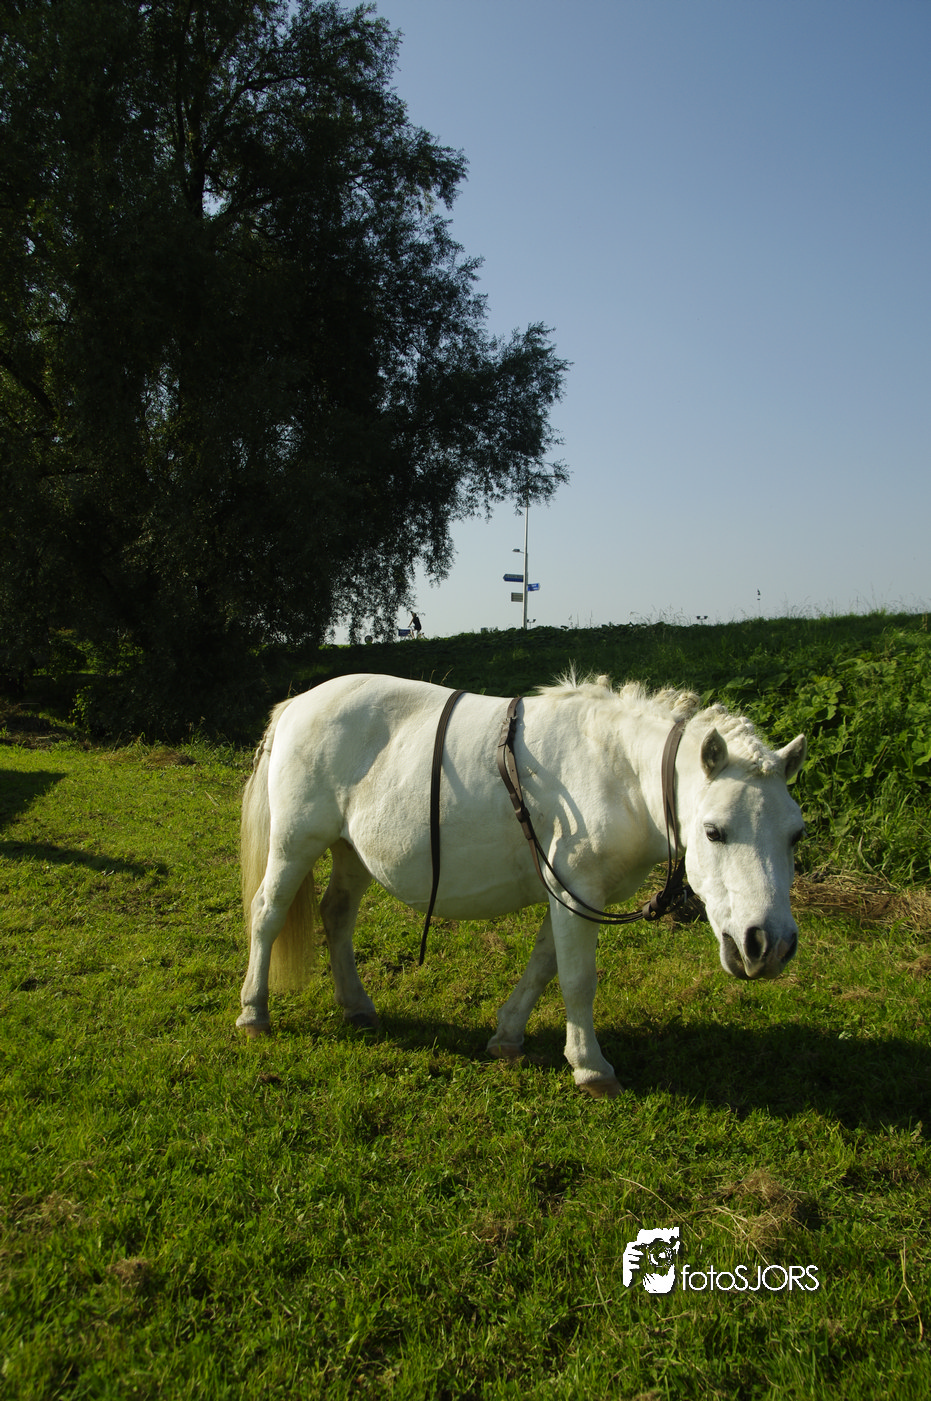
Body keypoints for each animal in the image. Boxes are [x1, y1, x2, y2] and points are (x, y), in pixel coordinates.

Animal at [237, 673, 806, 1098]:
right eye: (714, 831)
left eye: (796, 835)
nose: (768, 945)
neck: (616, 769)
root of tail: (298, 704)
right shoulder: (578, 889)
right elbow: (577, 979)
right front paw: (591, 1067)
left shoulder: (570, 890)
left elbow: (543, 966)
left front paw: (508, 1036)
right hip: (295, 843)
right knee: (267, 913)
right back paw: (254, 1011)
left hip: (351, 851)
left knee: (336, 915)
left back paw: (355, 1005)